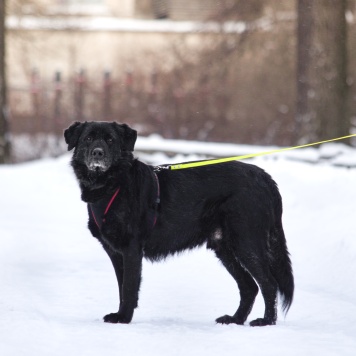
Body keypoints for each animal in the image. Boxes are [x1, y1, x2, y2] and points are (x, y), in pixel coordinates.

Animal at [64, 121, 294, 326]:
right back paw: (235, 319)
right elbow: (122, 287)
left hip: (247, 243)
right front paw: (121, 315)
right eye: (88, 138)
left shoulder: (131, 249)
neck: (114, 185)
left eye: (110, 140)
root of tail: (265, 178)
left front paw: (123, 318)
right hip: (224, 248)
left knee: (268, 284)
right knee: (249, 287)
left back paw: (266, 321)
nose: (98, 153)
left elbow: (128, 288)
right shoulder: (115, 252)